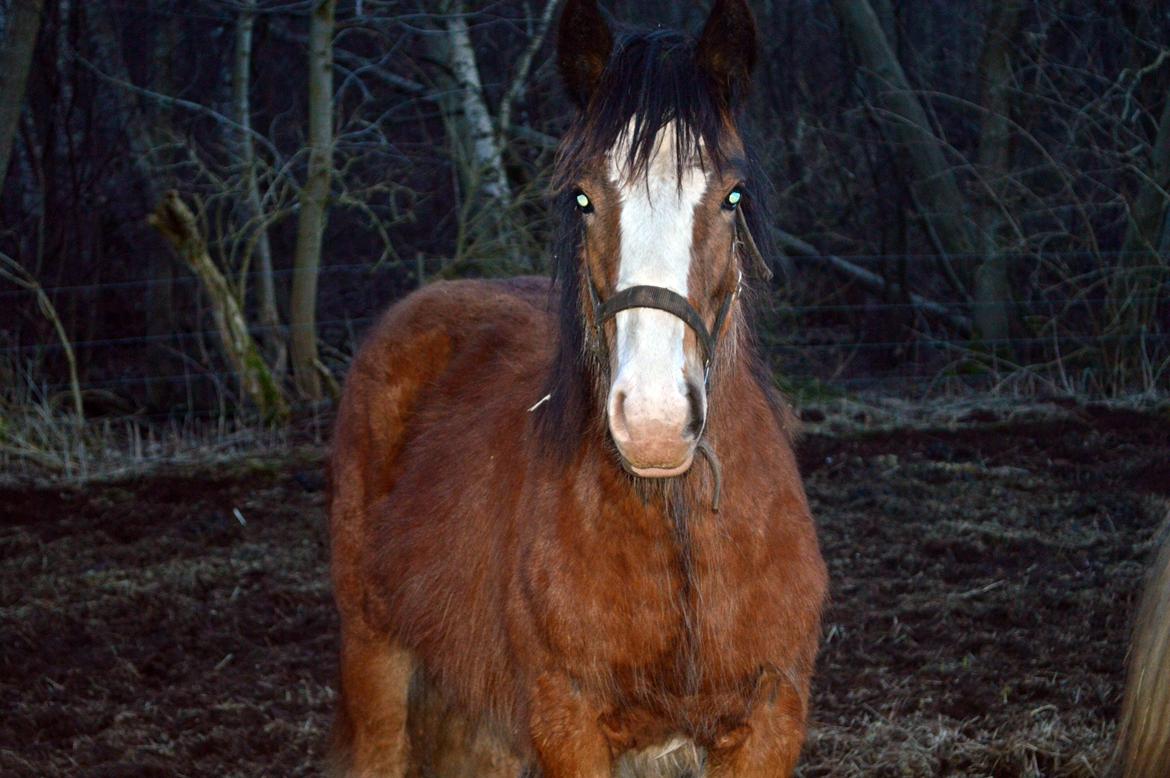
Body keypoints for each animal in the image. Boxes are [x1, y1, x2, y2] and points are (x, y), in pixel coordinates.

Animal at [325, 3, 828, 772]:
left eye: (732, 196)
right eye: (584, 197)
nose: (653, 421)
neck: (679, 535)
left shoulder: (771, 720)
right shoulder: (567, 721)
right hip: (375, 660)